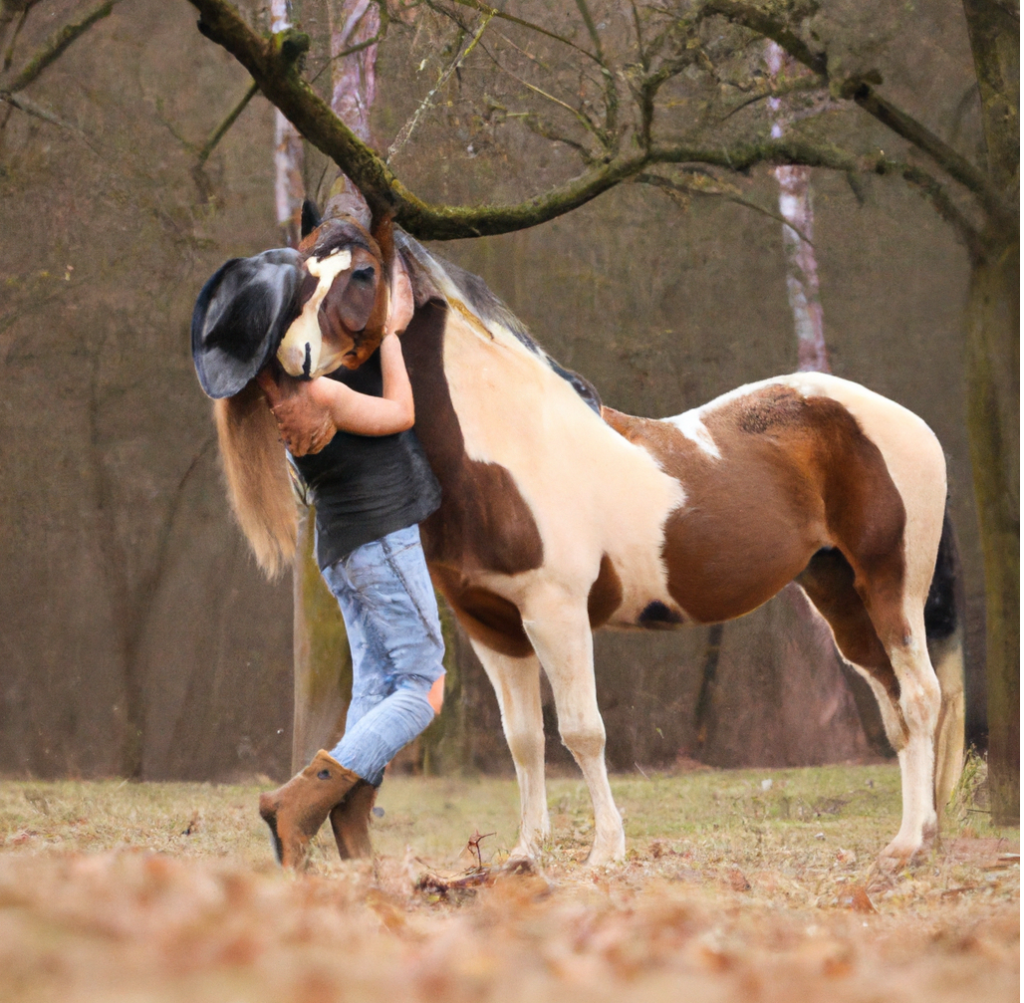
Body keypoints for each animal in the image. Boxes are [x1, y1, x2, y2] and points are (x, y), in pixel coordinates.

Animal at [193, 199, 966, 868]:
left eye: (361, 274)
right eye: (301, 273)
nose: (289, 361)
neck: (508, 445)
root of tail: (907, 420)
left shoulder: (556, 613)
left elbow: (582, 731)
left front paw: (604, 853)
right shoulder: (492, 626)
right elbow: (525, 741)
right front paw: (525, 854)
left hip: (891, 584)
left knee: (923, 696)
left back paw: (907, 846)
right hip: (836, 591)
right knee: (896, 706)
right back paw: (916, 836)